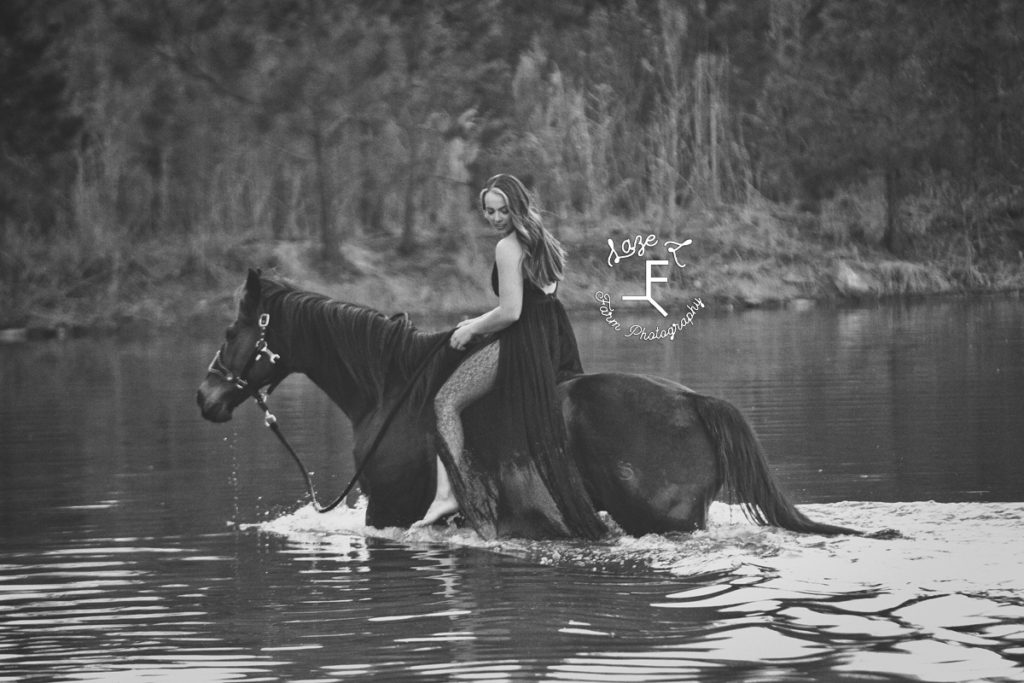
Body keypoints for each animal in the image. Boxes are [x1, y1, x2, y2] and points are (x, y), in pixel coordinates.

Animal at [195, 270, 860, 540]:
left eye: (231, 330)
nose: (205, 397)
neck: (388, 392)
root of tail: (696, 401)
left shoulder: (387, 509)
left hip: (662, 520)